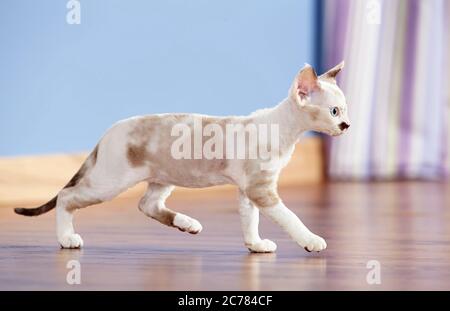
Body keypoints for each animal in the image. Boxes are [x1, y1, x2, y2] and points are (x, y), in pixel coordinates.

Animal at [14, 62, 350, 255]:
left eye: (345, 111)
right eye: (334, 111)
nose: (346, 126)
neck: (284, 131)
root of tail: (108, 132)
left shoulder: (249, 190)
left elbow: (249, 219)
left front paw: (255, 245)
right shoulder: (260, 189)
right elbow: (290, 217)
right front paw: (311, 240)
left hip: (163, 177)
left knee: (146, 204)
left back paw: (187, 224)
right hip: (109, 182)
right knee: (67, 196)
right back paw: (67, 239)